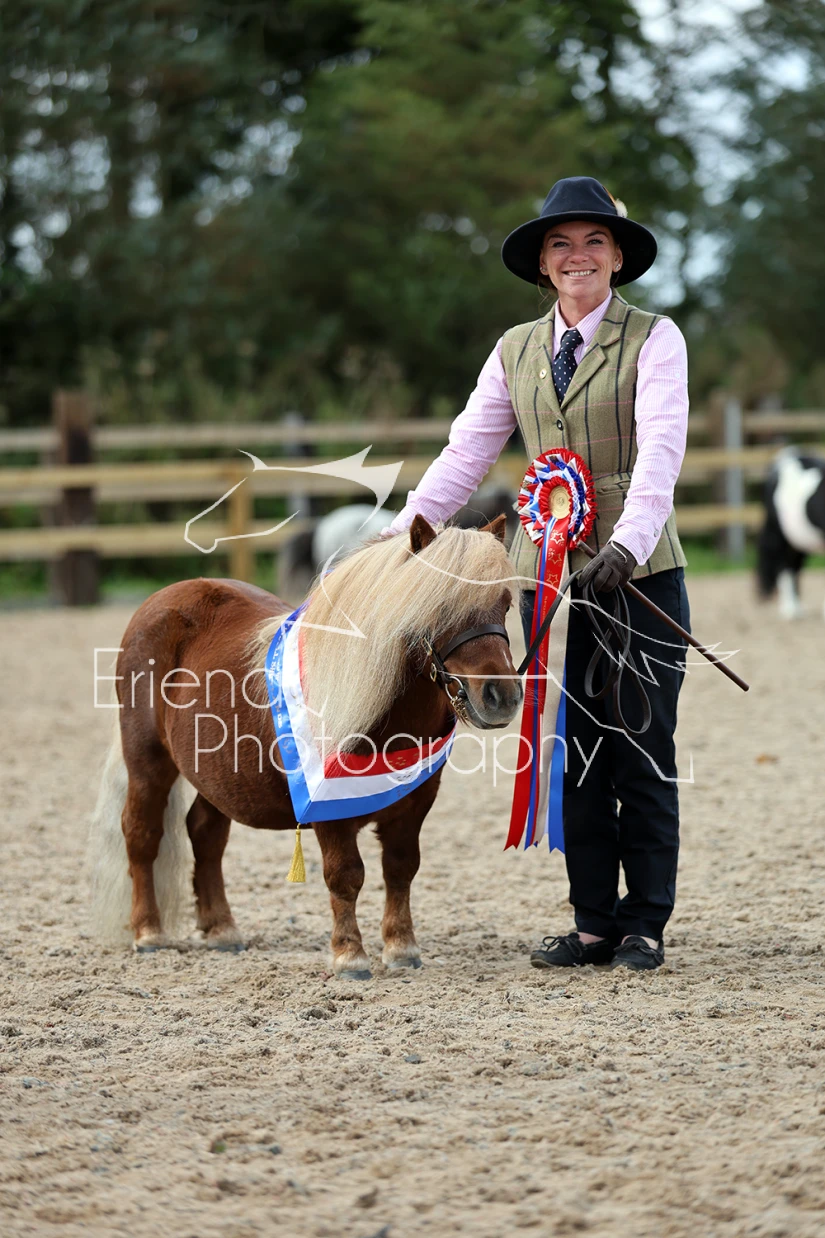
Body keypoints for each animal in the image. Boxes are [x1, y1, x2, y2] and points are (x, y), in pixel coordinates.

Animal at [89, 514, 522, 979]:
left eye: (505, 604)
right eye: (438, 605)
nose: (501, 697)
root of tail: (163, 599)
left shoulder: (416, 802)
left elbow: (401, 868)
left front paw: (402, 947)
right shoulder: (330, 807)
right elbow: (345, 874)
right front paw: (350, 954)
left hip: (218, 774)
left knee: (205, 834)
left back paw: (221, 929)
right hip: (148, 760)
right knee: (141, 833)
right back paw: (148, 932)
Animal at [757, 447, 825, 619]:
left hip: (798, 540)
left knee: (795, 567)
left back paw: (797, 609)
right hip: (779, 534)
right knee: (784, 566)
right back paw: (790, 611)